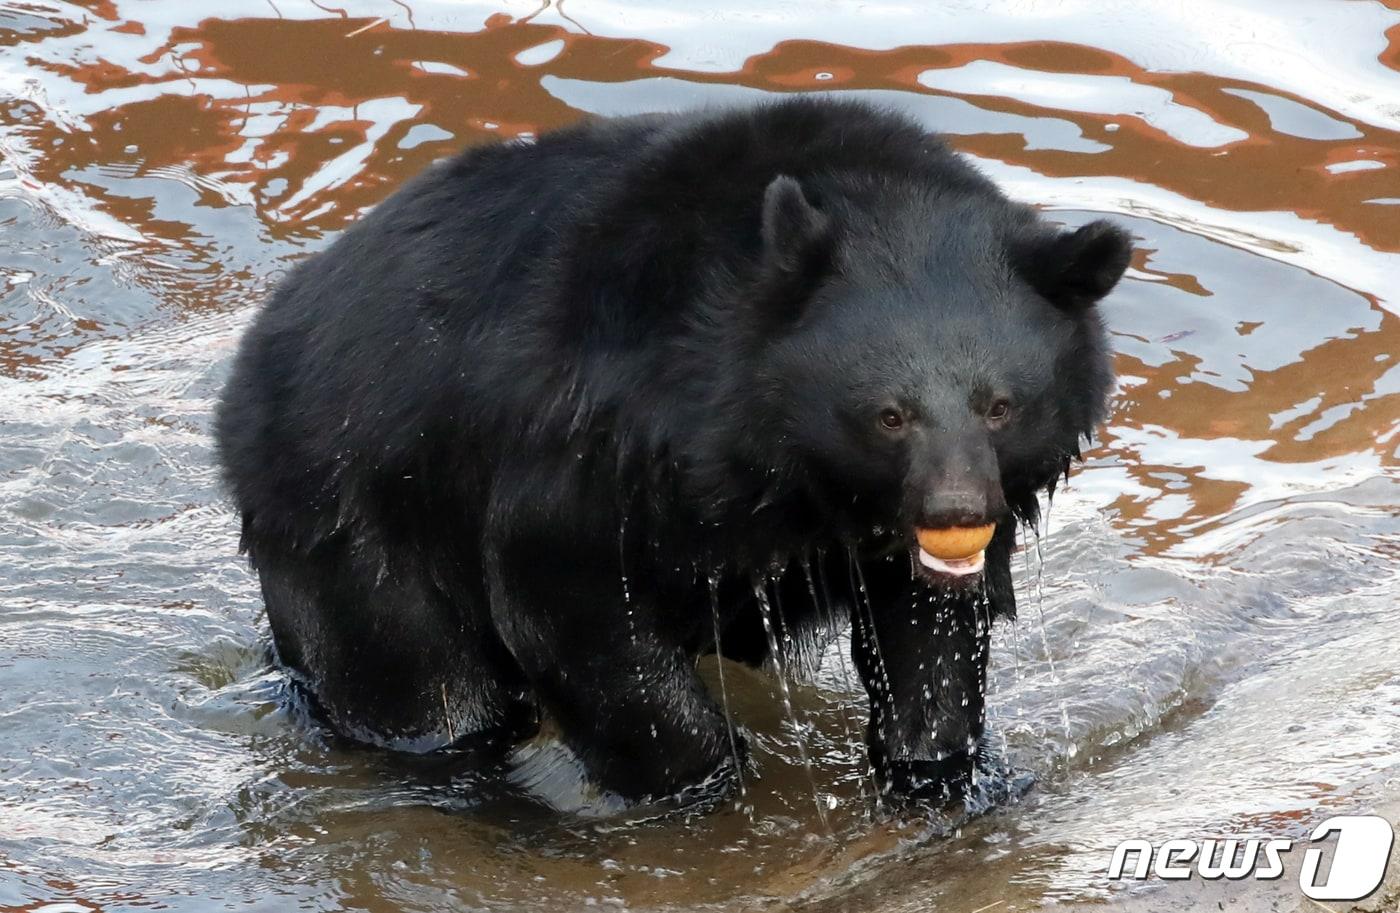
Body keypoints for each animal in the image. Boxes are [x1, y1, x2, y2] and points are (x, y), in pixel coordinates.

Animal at [215, 98, 1125, 806]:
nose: (956, 510)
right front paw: (705, 780)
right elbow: (563, 589)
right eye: (889, 416)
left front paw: (945, 775)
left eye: (1000, 406)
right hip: (353, 525)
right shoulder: (594, 439)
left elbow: (928, 631)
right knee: (422, 693)